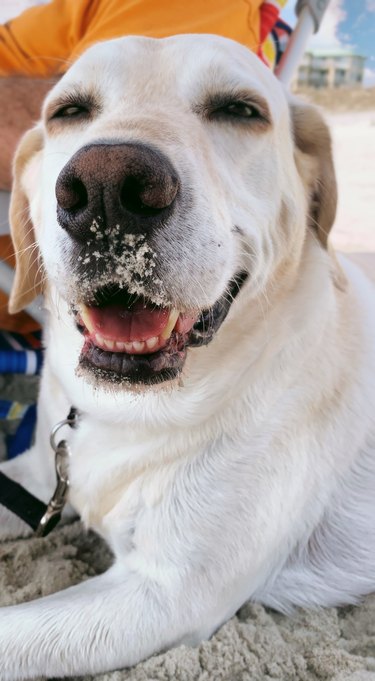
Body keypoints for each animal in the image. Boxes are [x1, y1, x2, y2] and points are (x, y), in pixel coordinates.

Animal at [0, 33, 375, 680]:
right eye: (69, 111)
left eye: (241, 110)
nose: (107, 188)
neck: (130, 414)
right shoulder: (34, 475)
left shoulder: (165, 594)